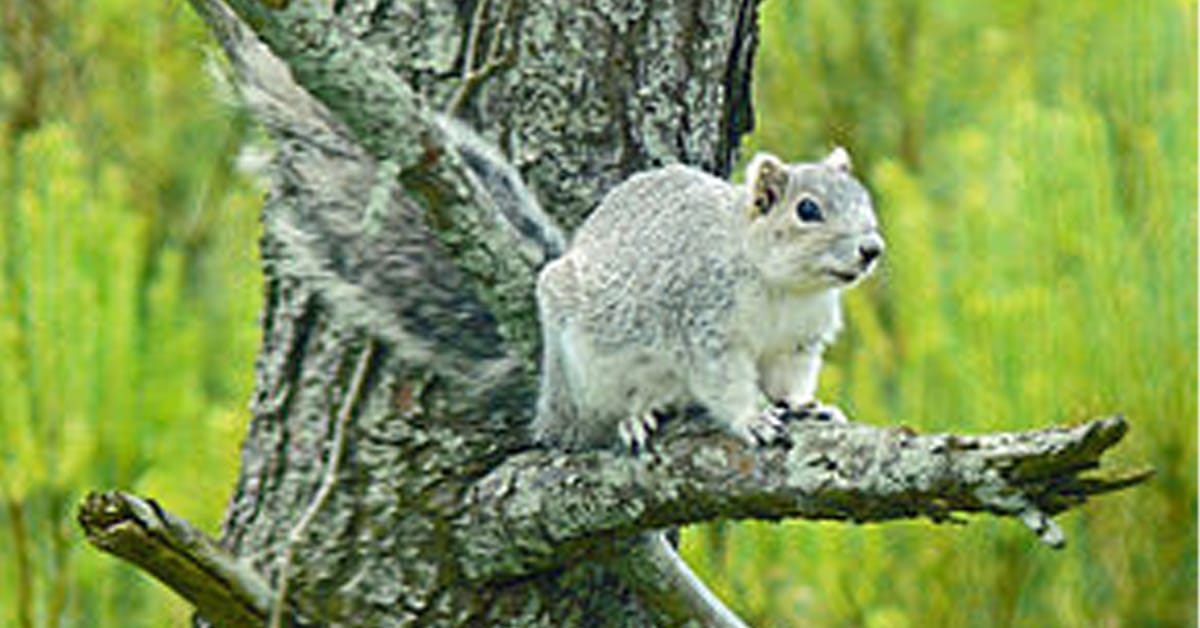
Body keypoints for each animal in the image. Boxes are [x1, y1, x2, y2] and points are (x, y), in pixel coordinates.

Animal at [535, 147, 883, 451]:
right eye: (807, 210)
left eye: (863, 198)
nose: (872, 249)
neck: (784, 287)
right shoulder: (706, 323)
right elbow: (725, 382)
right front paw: (752, 419)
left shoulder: (796, 342)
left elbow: (787, 383)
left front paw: (803, 405)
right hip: (579, 372)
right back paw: (632, 418)